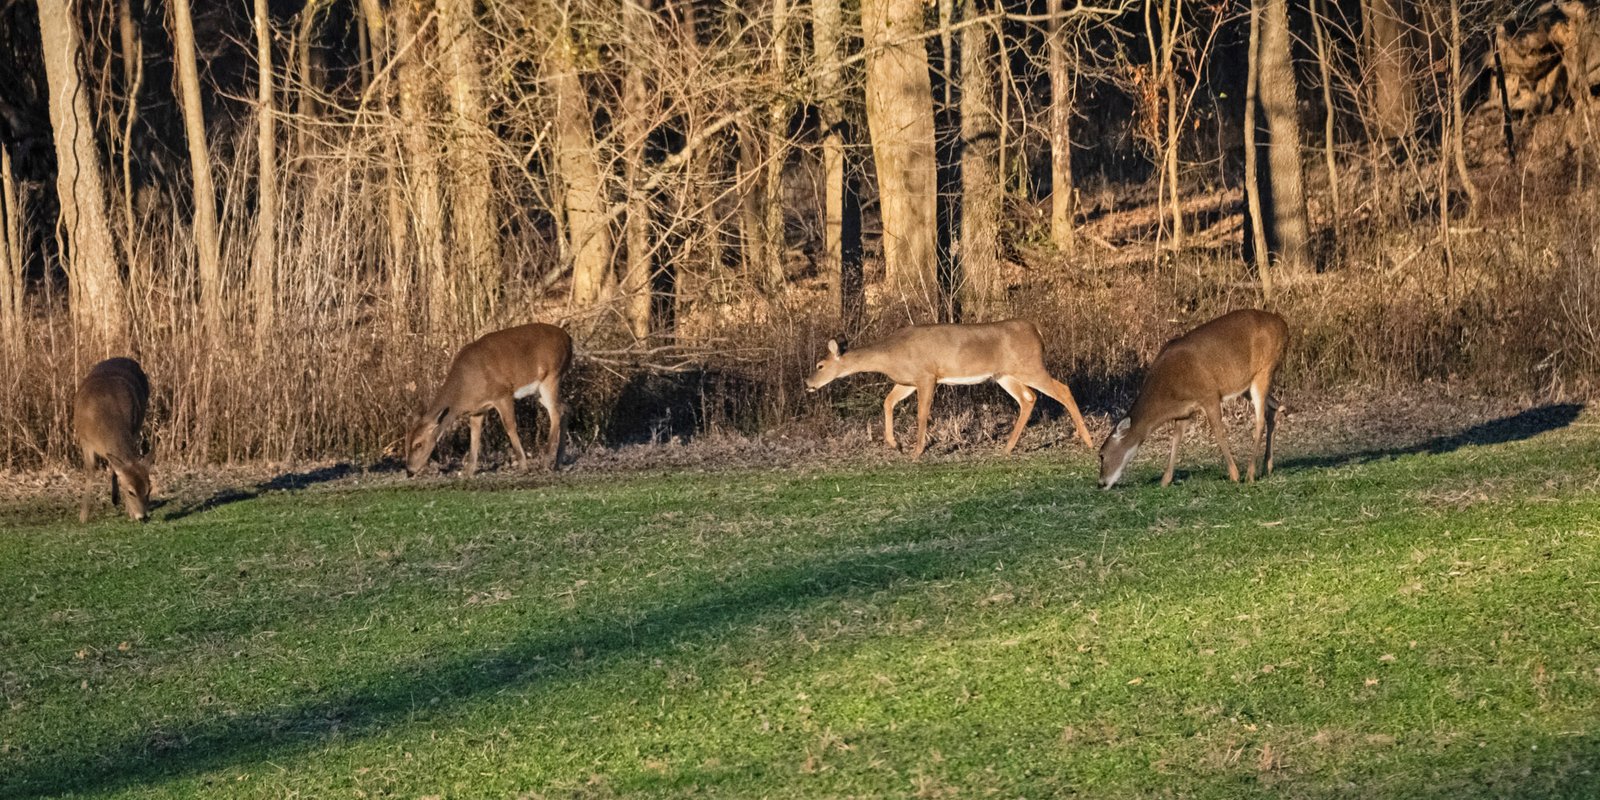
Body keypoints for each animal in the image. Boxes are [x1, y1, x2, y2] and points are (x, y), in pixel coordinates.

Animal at [73, 358, 152, 524]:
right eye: (131, 491)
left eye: (149, 489)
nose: (143, 517)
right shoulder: (85, 440)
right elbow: (91, 470)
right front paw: (83, 515)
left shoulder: (132, 430)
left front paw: (129, 511)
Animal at [406, 323, 576, 476]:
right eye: (407, 442)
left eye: (418, 444)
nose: (409, 471)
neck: (463, 390)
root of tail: (569, 339)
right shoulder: (477, 410)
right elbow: (474, 436)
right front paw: (468, 471)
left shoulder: (502, 394)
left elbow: (510, 427)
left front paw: (523, 466)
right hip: (539, 390)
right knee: (565, 407)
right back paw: (558, 461)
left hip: (551, 376)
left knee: (555, 413)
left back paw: (546, 461)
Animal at [800, 316, 1100, 457]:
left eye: (819, 365)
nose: (808, 383)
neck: (891, 355)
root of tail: (1037, 331)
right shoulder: (906, 381)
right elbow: (887, 402)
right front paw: (895, 444)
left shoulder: (926, 375)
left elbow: (922, 414)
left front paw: (916, 451)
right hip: (1004, 374)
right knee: (1028, 398)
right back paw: (1007, 448)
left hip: (1030, 366)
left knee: (1062, 389)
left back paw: (1087, 441)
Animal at [1100, 308, 1286, 486]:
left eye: (1101, 455)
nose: (1101, 483)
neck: (1169, 390)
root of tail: (1283, 324)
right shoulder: (1185, 410)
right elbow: (1176, 438)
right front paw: (1165, 480)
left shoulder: (1209, 394)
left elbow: (1218, 432)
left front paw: (1234, 475)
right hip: (1247, 385)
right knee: (1275, 407)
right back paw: (1267, 467)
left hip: (1264, 370)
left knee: (1260, 420)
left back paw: (1250, 474)